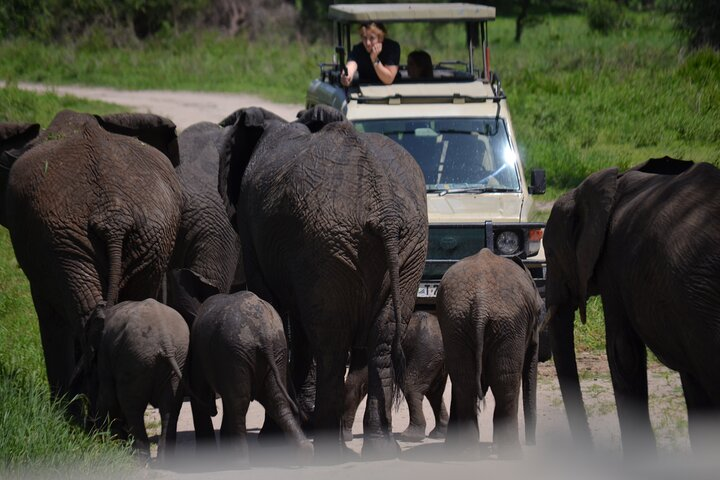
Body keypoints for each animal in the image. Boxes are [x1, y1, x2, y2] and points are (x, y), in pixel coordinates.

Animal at [73, 299, 189, 462]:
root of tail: (166, 343)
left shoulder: (105, 353)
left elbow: (108, 397)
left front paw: (99, 438)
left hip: (135, 359)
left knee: (132, 406)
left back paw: (139, 457)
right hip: (178, 358)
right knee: (170, 407)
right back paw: (164, 460)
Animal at [189, 291, 313, 466]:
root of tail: (262, 333)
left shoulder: (199, 356)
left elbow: (200, 392)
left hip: (235, 353)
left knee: (239, 403)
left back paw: (239, 462)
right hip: (276, 349)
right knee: (276, 400)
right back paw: (306, 452)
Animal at [217, 105, 429, 459]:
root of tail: (383, 208)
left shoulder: (254, 235)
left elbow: (273, 308)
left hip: (327, 243)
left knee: (330, 344)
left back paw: (329, 448)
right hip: (405, 245)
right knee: (381, 340)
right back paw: (379, 449)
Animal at [342, 310, 448, 443]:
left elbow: (361, 379)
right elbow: (356, 380)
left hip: (426, 350)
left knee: (412, 386)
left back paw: (409, 437)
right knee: (434, 392)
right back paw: (438, 434)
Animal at [436, 248, 544, 458]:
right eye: (539, 313)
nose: (532, 443)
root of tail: (481, 302)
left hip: (456, 323)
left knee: (464, 379)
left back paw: (468, 454)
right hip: (508, 324)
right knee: (506, 381)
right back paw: (511, 454)